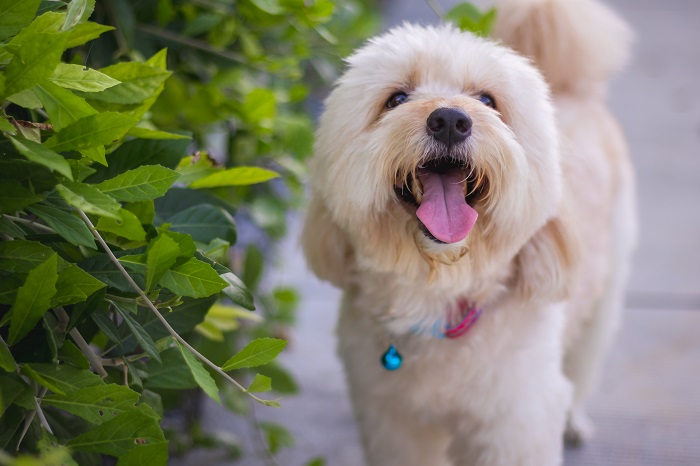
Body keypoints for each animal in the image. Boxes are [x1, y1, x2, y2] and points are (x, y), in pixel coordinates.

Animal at [300, 0, 636, 462]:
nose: (448, 119)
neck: (438, 292)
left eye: (487, 100)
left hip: (605, 290)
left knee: (585, 356)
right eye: (396, 99)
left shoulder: (515, 422)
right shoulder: (394, 422)